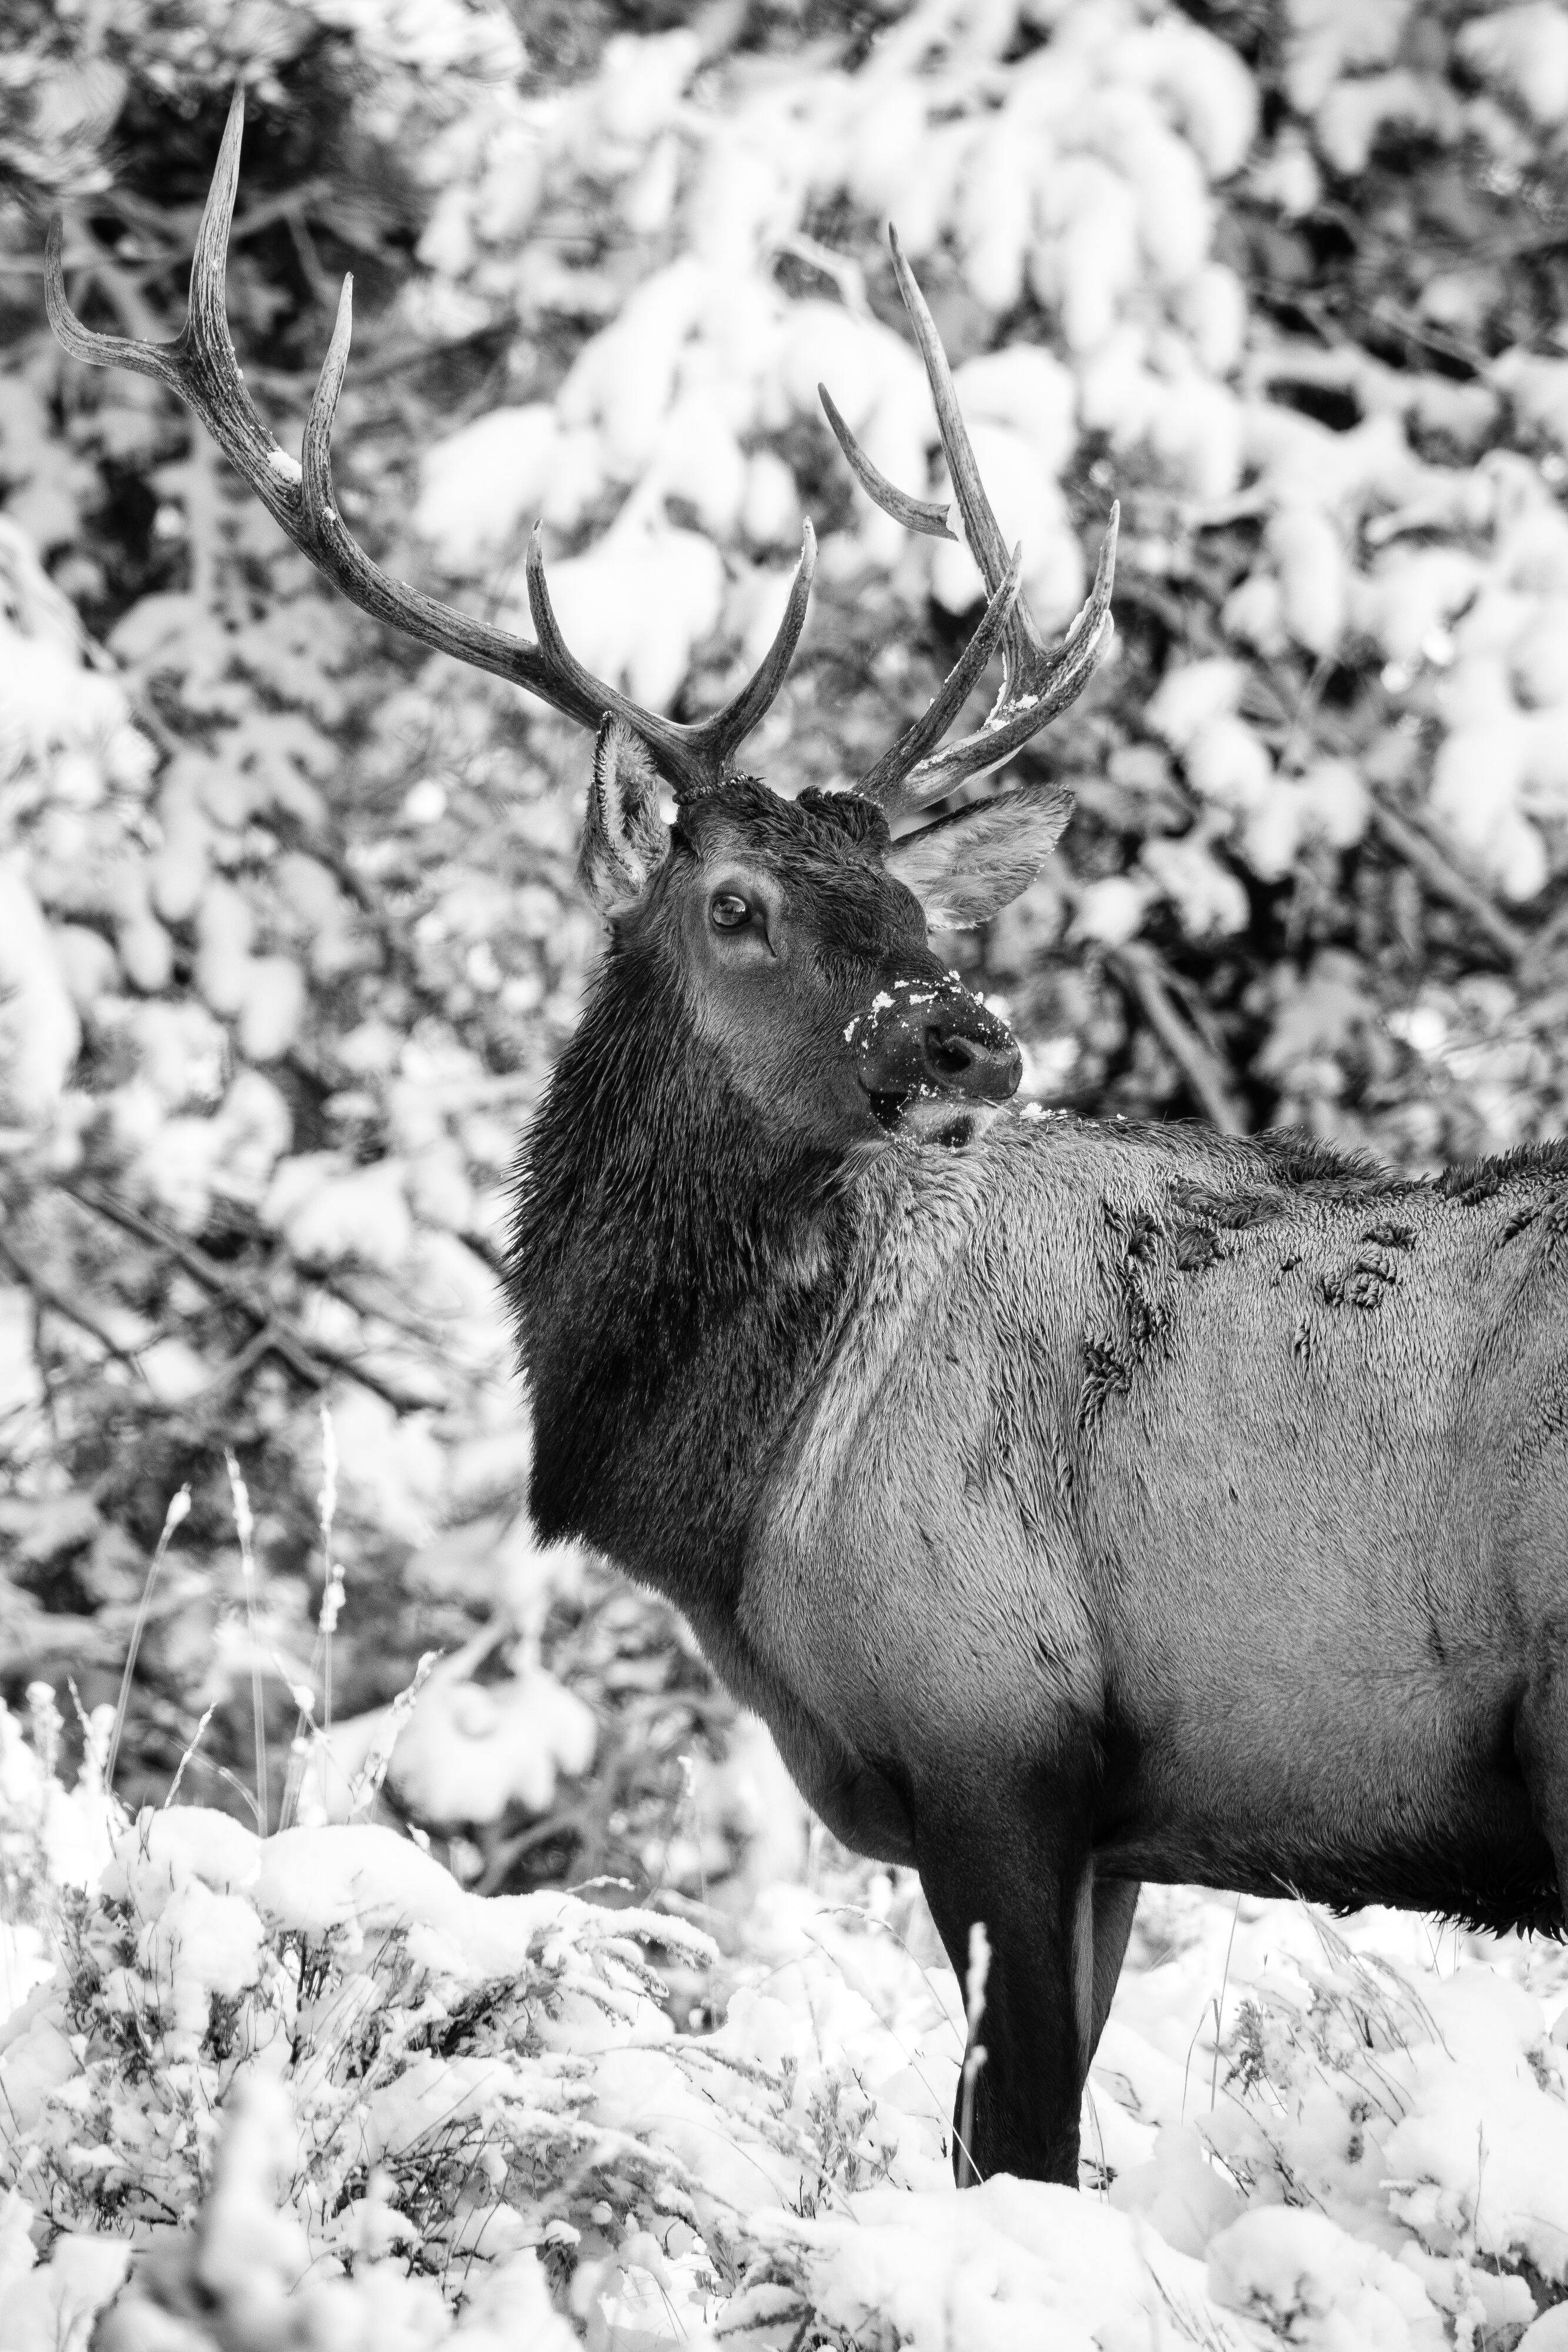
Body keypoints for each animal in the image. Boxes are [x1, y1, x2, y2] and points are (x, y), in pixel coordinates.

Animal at [49, 89, 1568, 2193]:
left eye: (916, 906)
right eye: (742, 903)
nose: (964, 1032)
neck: (728, 1488)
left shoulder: (996, 1730)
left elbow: (1018, 2152)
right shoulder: (1102, 1826)